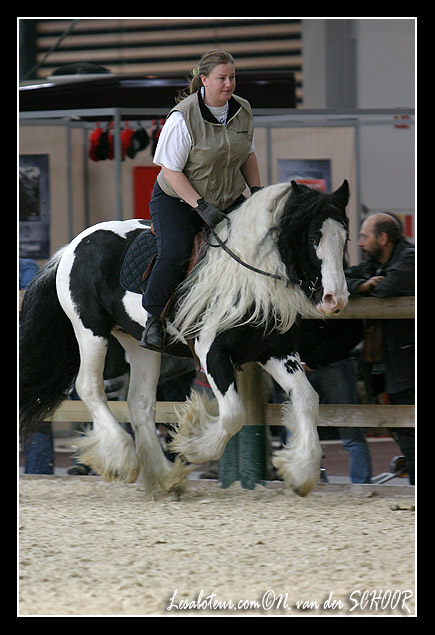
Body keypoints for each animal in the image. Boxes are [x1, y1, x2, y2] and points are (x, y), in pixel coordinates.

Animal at [20, 181, 350, 500]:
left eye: (345, 237)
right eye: (313, 238)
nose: (335, 299)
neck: (248, 276)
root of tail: (72, 246)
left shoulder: (277, 352)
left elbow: (306, 399)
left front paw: (301, 473)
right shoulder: (211, 353)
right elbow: (234, 414)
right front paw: (191, 443)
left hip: (138, 343)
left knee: (139, 403)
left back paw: (165, 477)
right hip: (91, 330)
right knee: (89, 387)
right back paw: (123, 460)